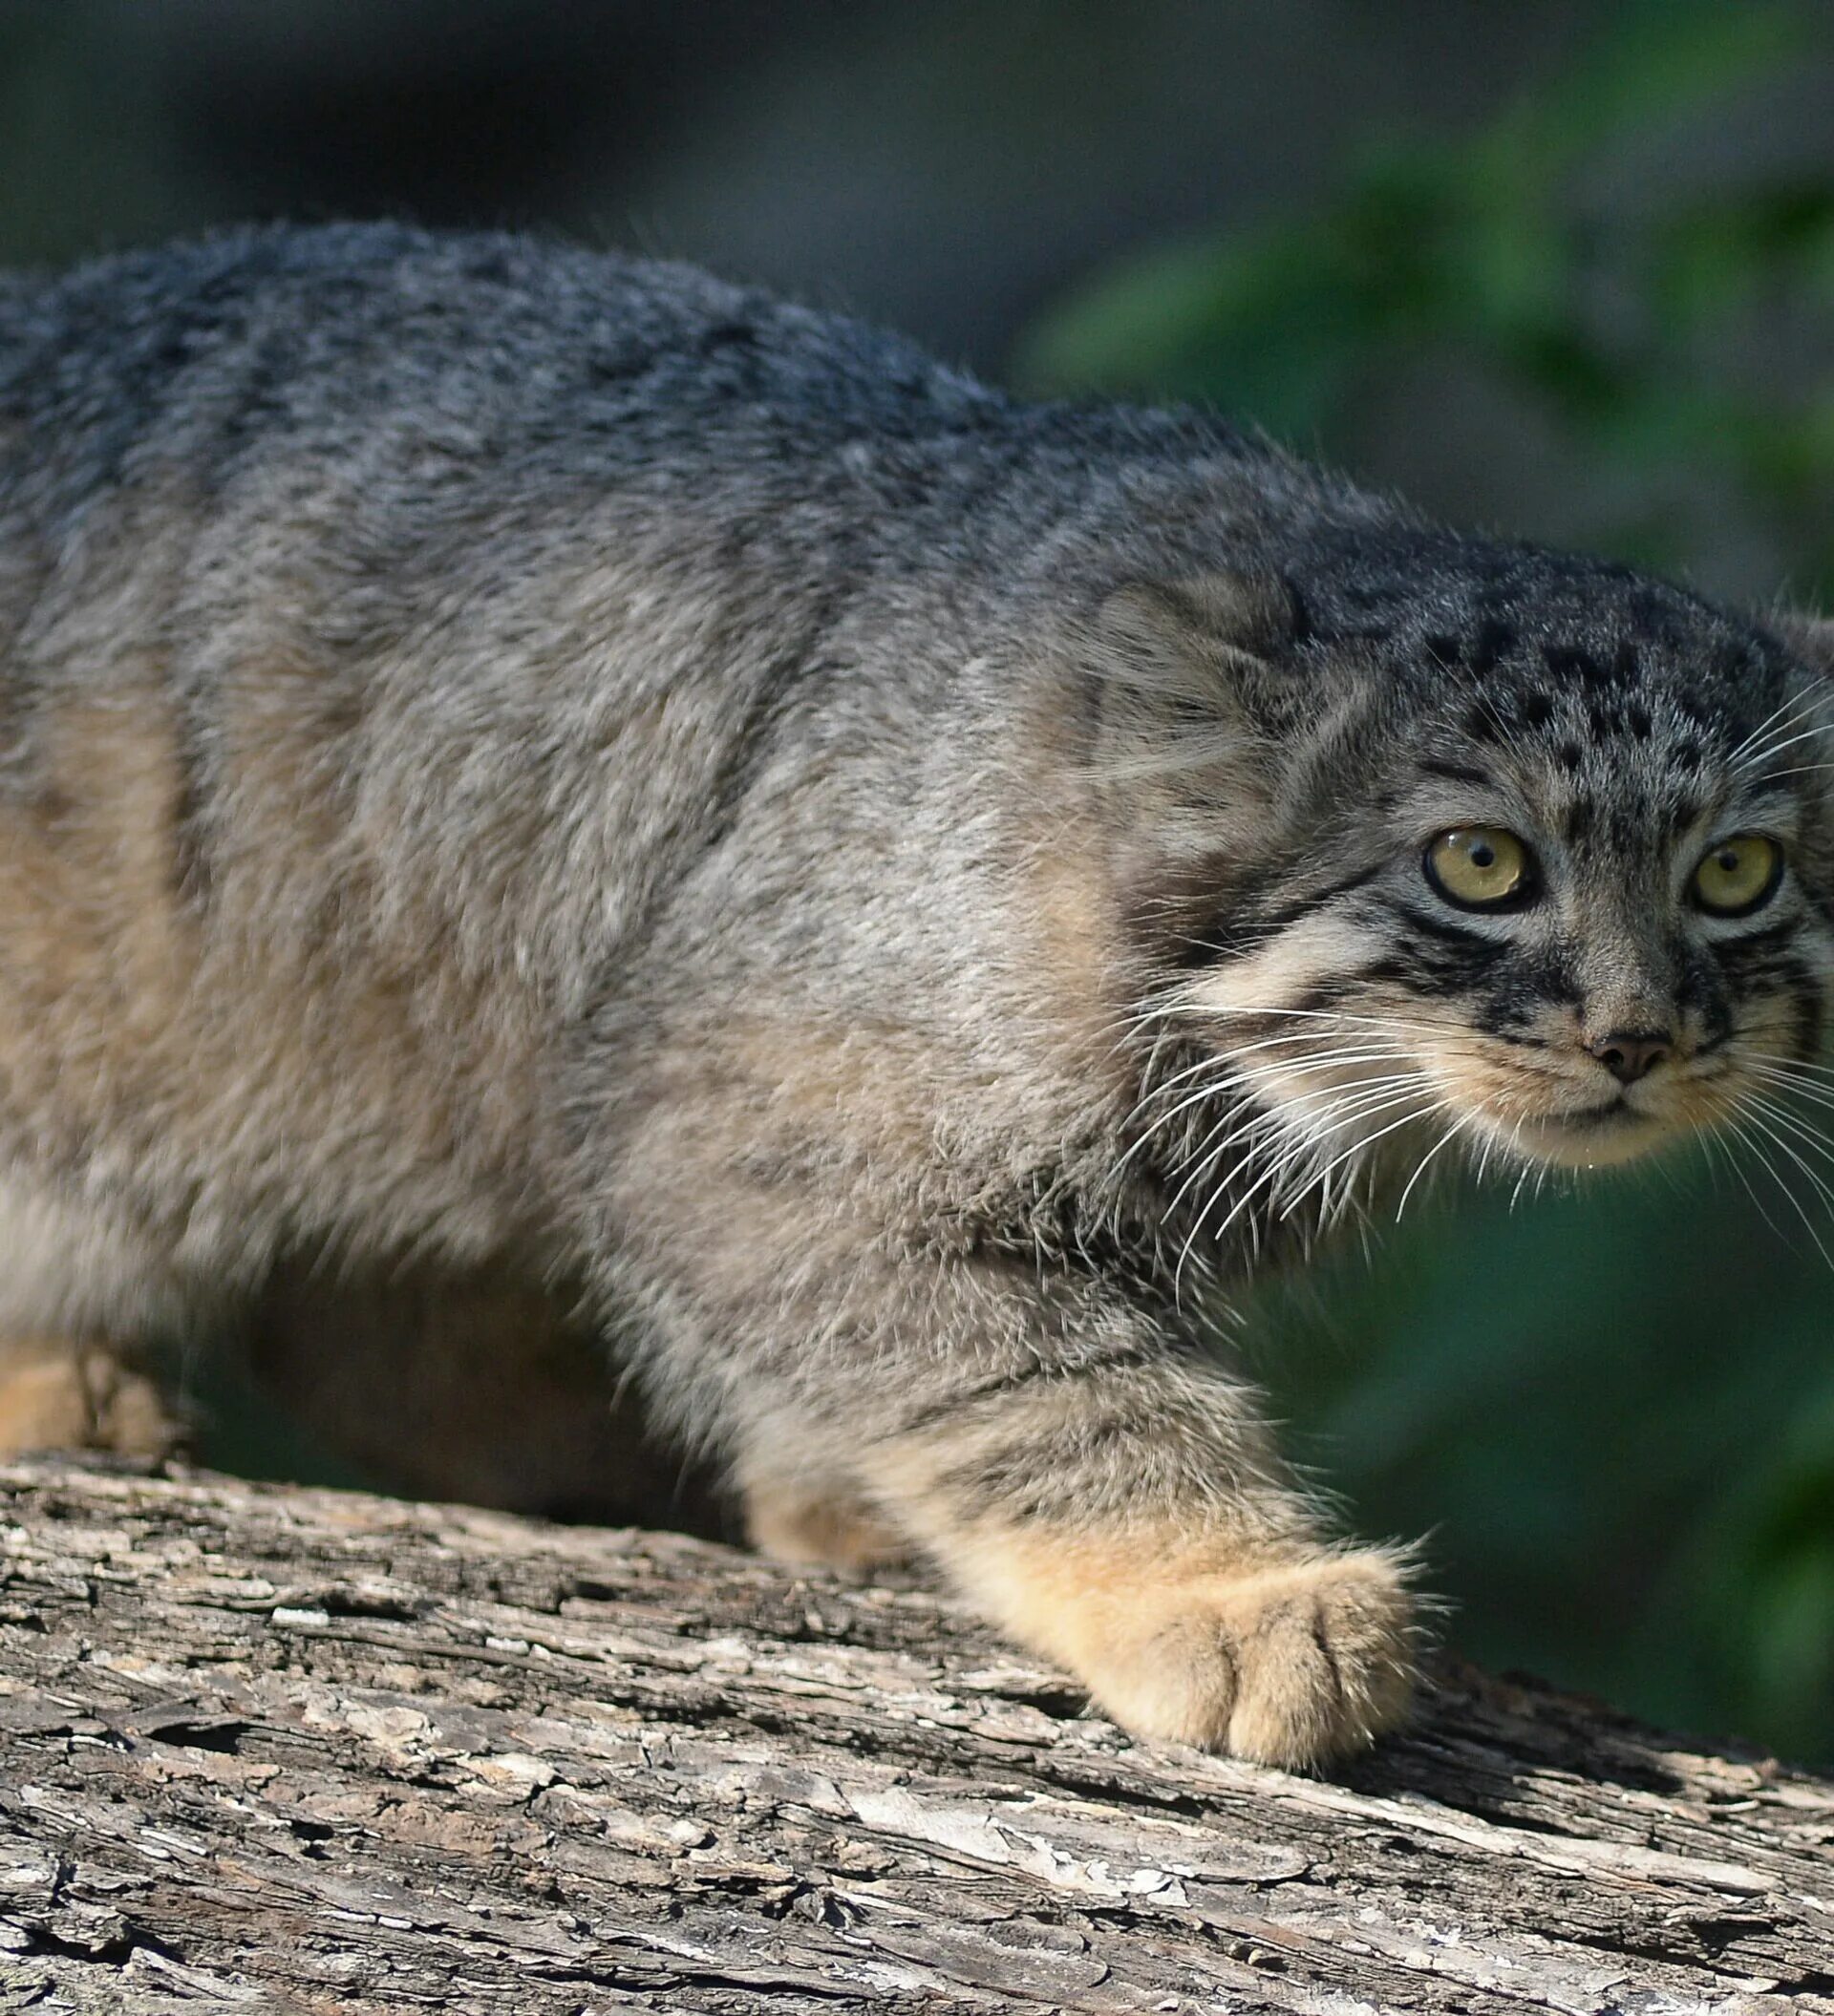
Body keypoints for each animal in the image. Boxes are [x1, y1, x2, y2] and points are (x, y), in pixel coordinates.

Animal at [3, 224, 1834, 1766]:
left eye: (1740, 874)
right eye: (1481, 863)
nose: (1641, 1035)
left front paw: (831, 1496)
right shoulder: (728, 1109)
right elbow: (1036, 1381)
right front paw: (1216, 1587)